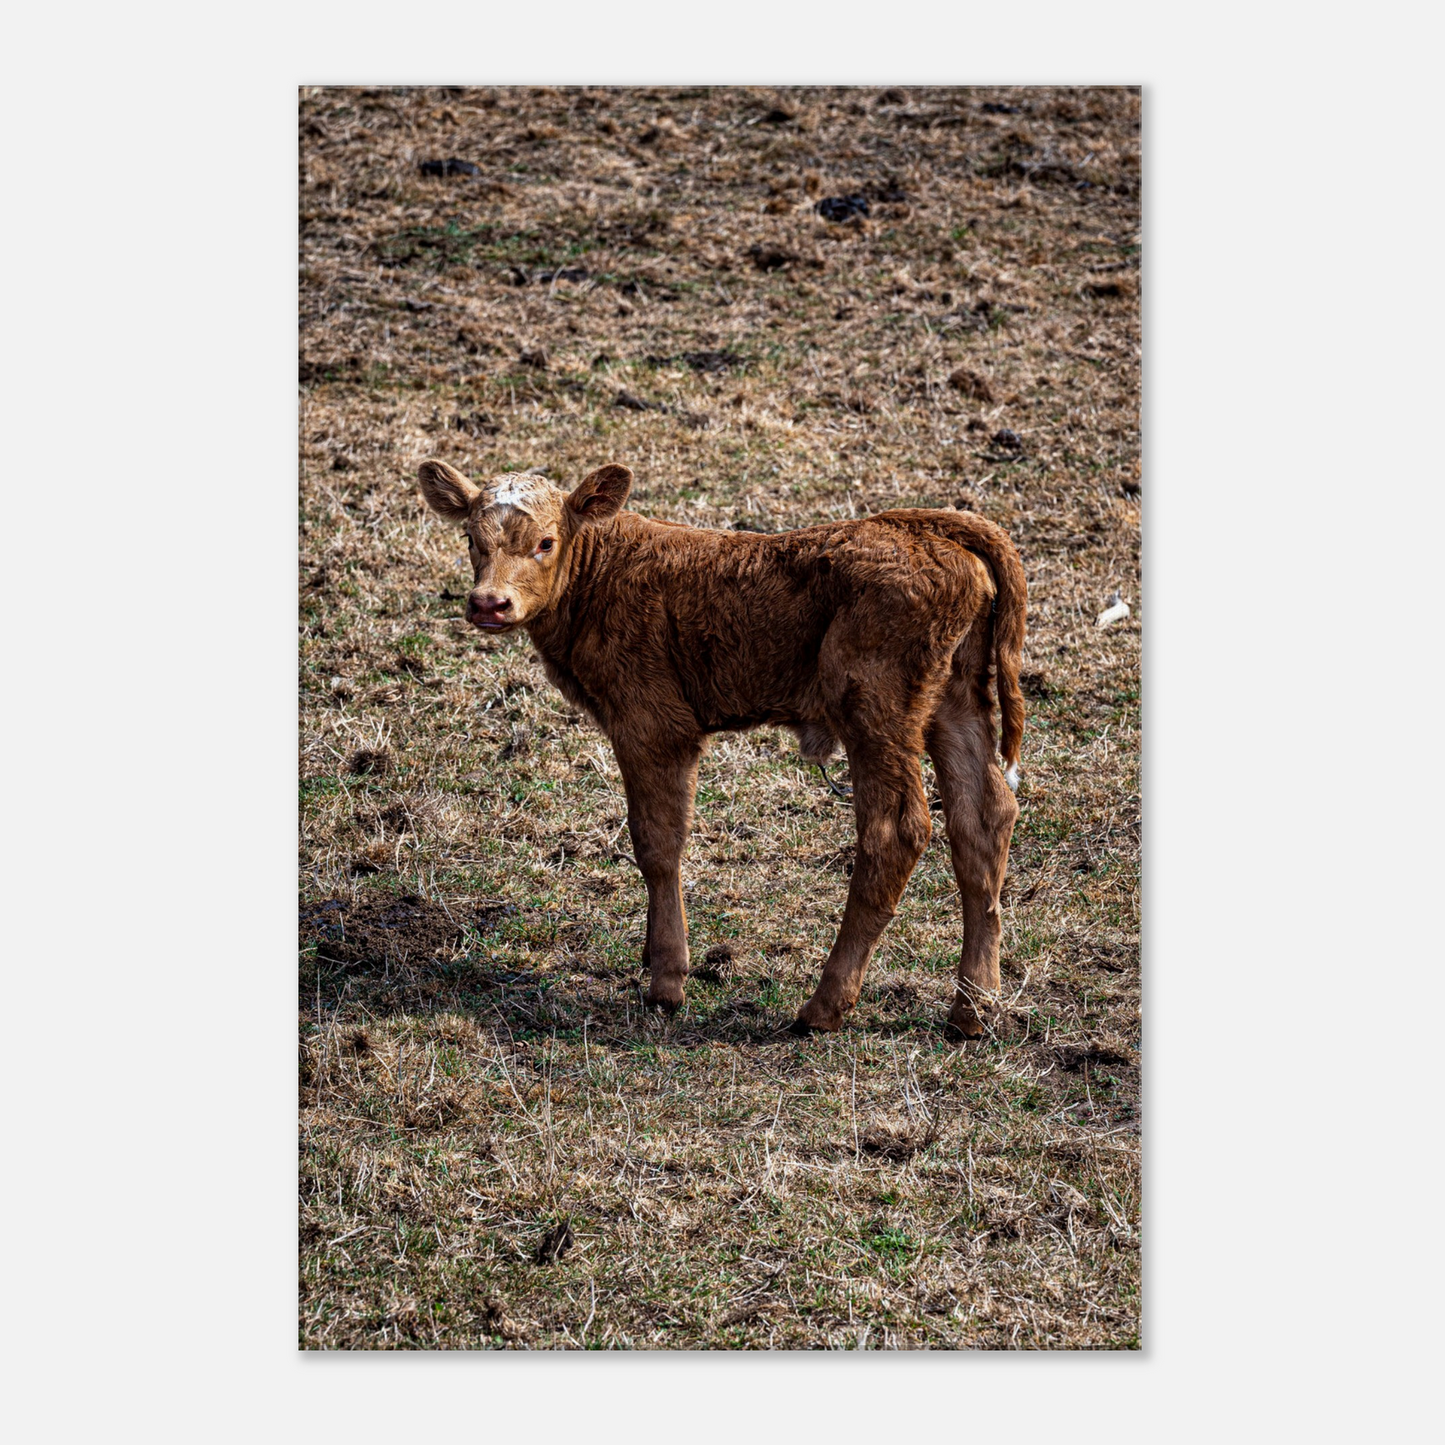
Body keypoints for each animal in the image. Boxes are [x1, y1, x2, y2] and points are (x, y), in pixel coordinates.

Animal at [419, 462, 1028, 1040]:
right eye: (472, 538)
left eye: (546, 542)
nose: (489, 603)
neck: (601, 572)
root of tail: (921, 528)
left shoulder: (653, 727)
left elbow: (657, 845)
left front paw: (666, 980)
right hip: (955, 701)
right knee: (982, 820)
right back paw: (972, 1011)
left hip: (875, 710)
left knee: (895, 832)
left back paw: (824, 1007)